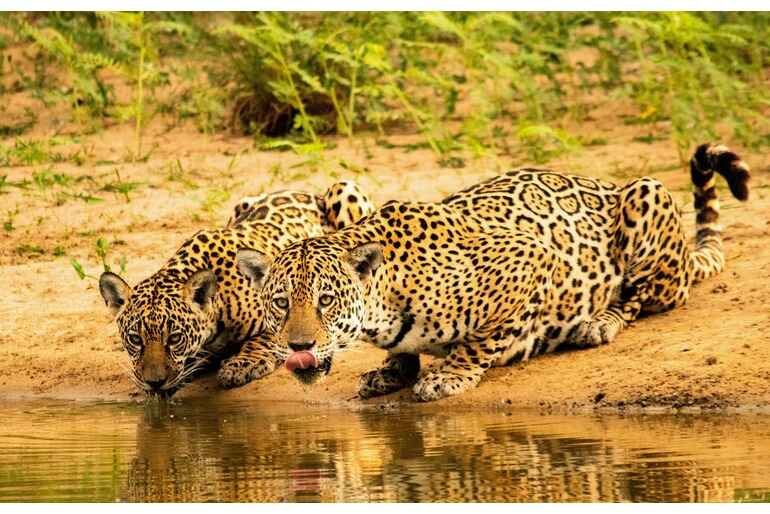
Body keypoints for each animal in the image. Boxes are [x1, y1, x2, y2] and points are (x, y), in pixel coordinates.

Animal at [98, 180, 375, 397]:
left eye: (175, 338)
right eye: (135, 339)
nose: (154, 382)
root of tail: (305, 192)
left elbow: (264, 339)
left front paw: (241, 365)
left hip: (345, 189)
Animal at [222, 143, 750, 401]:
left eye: (326, 301)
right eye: (280, 303)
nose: (298, 346)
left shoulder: (530, 260)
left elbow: (482, 341)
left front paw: (448, 376)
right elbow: (402, 352)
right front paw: (392, 372)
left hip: (647, 193)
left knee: (645, 296)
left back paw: (601, 322)